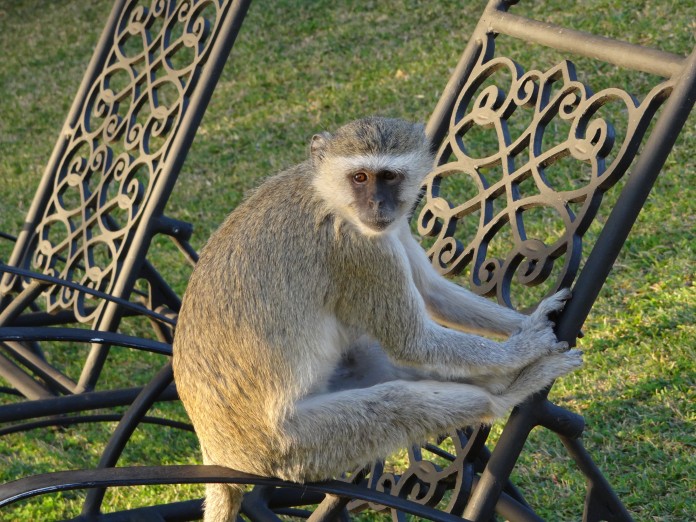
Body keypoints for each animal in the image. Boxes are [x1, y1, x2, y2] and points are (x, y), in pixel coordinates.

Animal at [174, 116, 580, 516]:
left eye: (388, 177)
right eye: (360, 177)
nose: (376, 205)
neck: (327, 193)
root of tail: (221, 454)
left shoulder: (393, 229)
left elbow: (433, 294)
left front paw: (530, 323)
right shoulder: (358, 247)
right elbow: (413, 342)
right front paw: (526, 346)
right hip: (294, 448)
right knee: (397, 402)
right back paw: (505, 396)